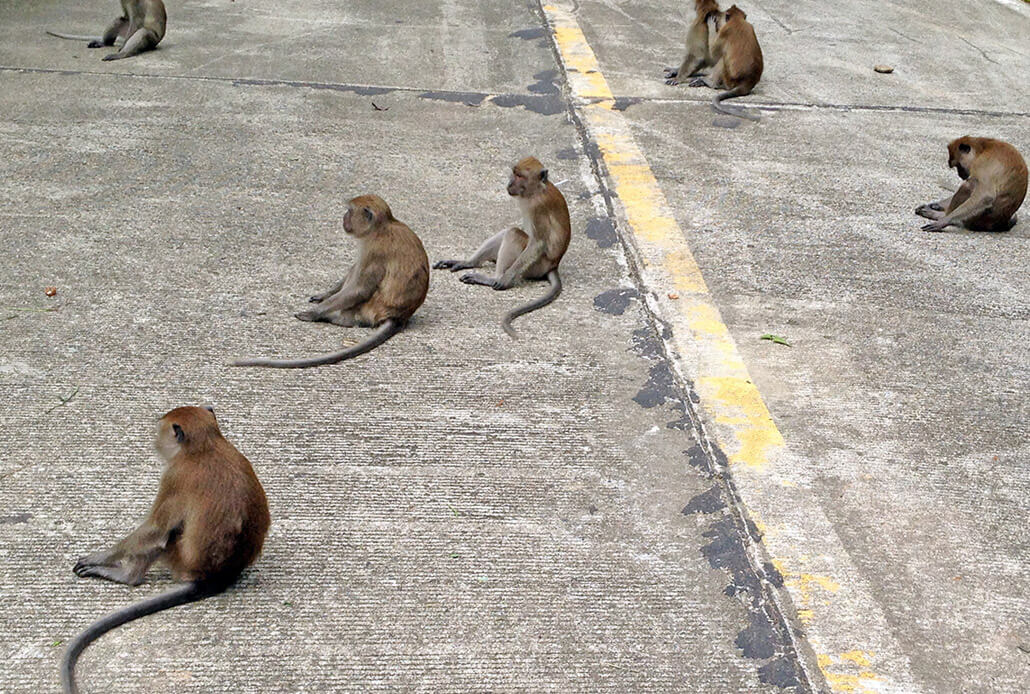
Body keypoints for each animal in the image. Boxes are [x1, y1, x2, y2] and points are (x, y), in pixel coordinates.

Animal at [59, 405, 269, 691]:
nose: (155, 440)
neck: (206, 446)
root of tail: (215, 577)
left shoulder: (174, 476)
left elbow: (156, 531)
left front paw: (100, 558)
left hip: (178, 558)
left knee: (166, 535)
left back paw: (127, 576)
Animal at [231, 193, 428, 366]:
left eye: (349, 210)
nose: (344, 217)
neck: (381, 227)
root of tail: (397, 316)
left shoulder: (374, 250)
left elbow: (360, 289)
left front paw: (313, 313)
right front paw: (323, 296)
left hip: (366, 308)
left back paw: (335, 318)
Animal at [430, 157, 568, 339]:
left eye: (519, 176)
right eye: (513, 173)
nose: (509, 182)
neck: (536, 191)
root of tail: (553, 265)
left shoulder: (538, 207)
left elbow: (537, 243)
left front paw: (503, 281)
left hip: (536, 266)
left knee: (513, 234)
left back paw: (493, 278)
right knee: (507, 232)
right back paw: (469, 262)